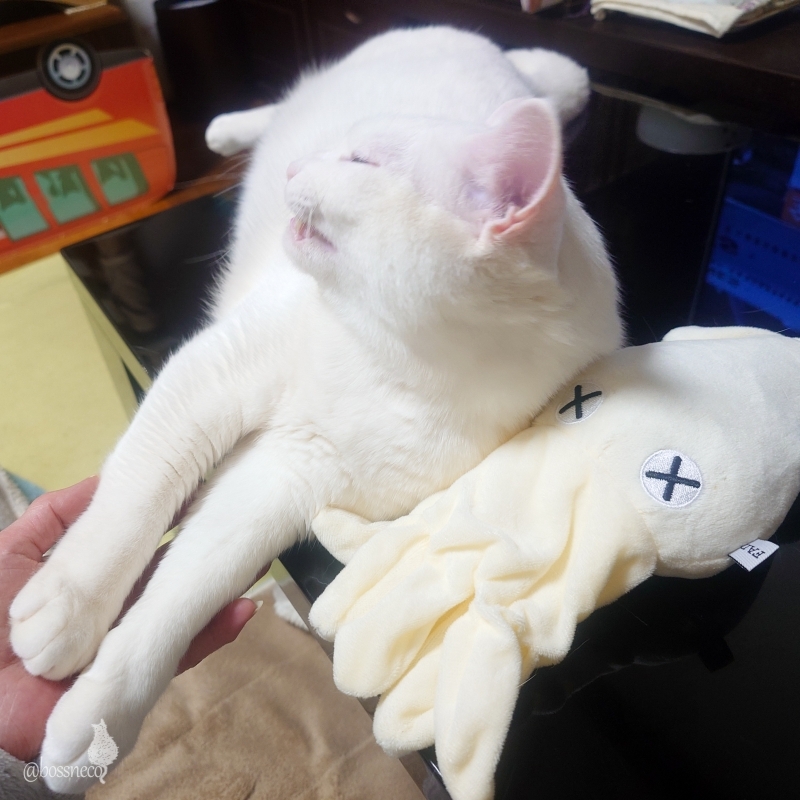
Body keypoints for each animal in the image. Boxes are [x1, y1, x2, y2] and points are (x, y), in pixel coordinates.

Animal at [10, 27, 621, 792]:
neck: (393, 361)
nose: (299, 167)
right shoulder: (214, 374)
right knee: (280, 102)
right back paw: (225, 128)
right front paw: (68, 606)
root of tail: (482, 42)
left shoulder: (287, 476)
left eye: (361, 161)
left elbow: (185, 590)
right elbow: (132, 502)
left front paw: (98, 725)